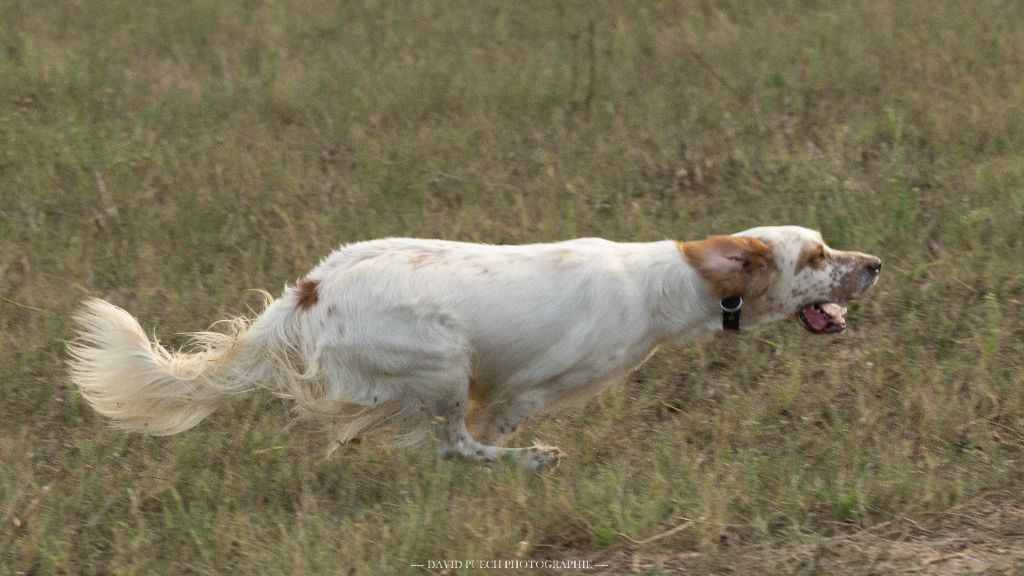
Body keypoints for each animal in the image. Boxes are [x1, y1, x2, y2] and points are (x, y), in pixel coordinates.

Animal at [68, 224, 880, 467]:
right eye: (815, 255)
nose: (875, 263)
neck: (667, 284)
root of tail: (310, 291)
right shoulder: (524, 390)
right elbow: (489, 429)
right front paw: (525, 453)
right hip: (442, 360)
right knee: (454, 444)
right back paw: (529, 461)